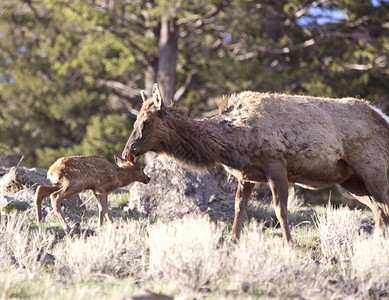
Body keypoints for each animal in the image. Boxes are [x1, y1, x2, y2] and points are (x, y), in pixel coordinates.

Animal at [122, 83, 388, 245]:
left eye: (146, 121)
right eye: (135, 120)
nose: (127, 152)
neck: (230, 144)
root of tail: (382, 117)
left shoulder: (276, 164)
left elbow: (280, 209)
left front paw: (289, 244)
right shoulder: (246, 175)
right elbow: (239, 207)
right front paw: (232, 240)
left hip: (374, 169)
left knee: (382, 207)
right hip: (351, 180)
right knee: (379, 211)